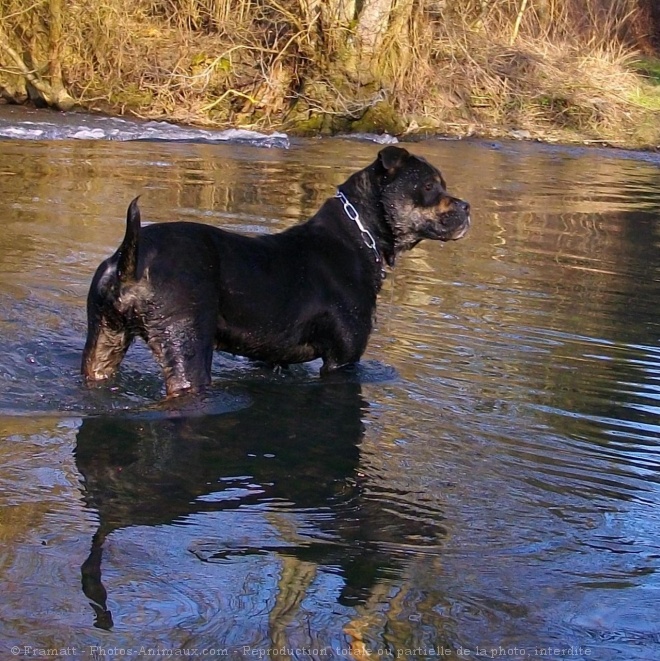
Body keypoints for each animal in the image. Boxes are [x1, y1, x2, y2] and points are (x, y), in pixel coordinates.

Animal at [82, 147, 470, 394]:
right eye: (429, 186)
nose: (466, 207)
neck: (361, 237)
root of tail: (131, 257)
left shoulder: (273, 358)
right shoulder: (342, 362)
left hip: (104, 339)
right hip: (185, 344)